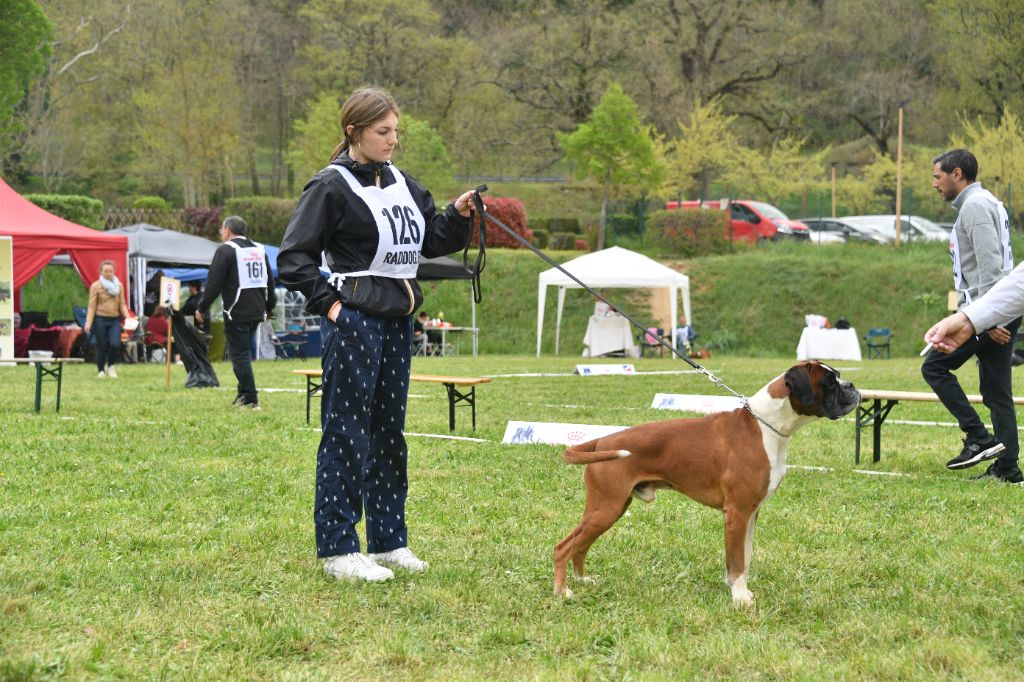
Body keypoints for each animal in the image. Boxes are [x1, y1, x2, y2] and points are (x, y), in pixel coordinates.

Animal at [552, 360, 856, 606]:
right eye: (829, 382)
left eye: (839, 376)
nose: (852, 386)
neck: (765, 426)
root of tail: (601, 441)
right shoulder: (737, 512)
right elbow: (737, 560)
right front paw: (739, 599)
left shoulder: (751, 513)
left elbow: (744, 557)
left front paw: (740, 590)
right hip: (606, 508)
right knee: (564, 547)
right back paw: (563, 592)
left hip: (609, 510)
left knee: (580, 545)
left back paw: (581, 580)